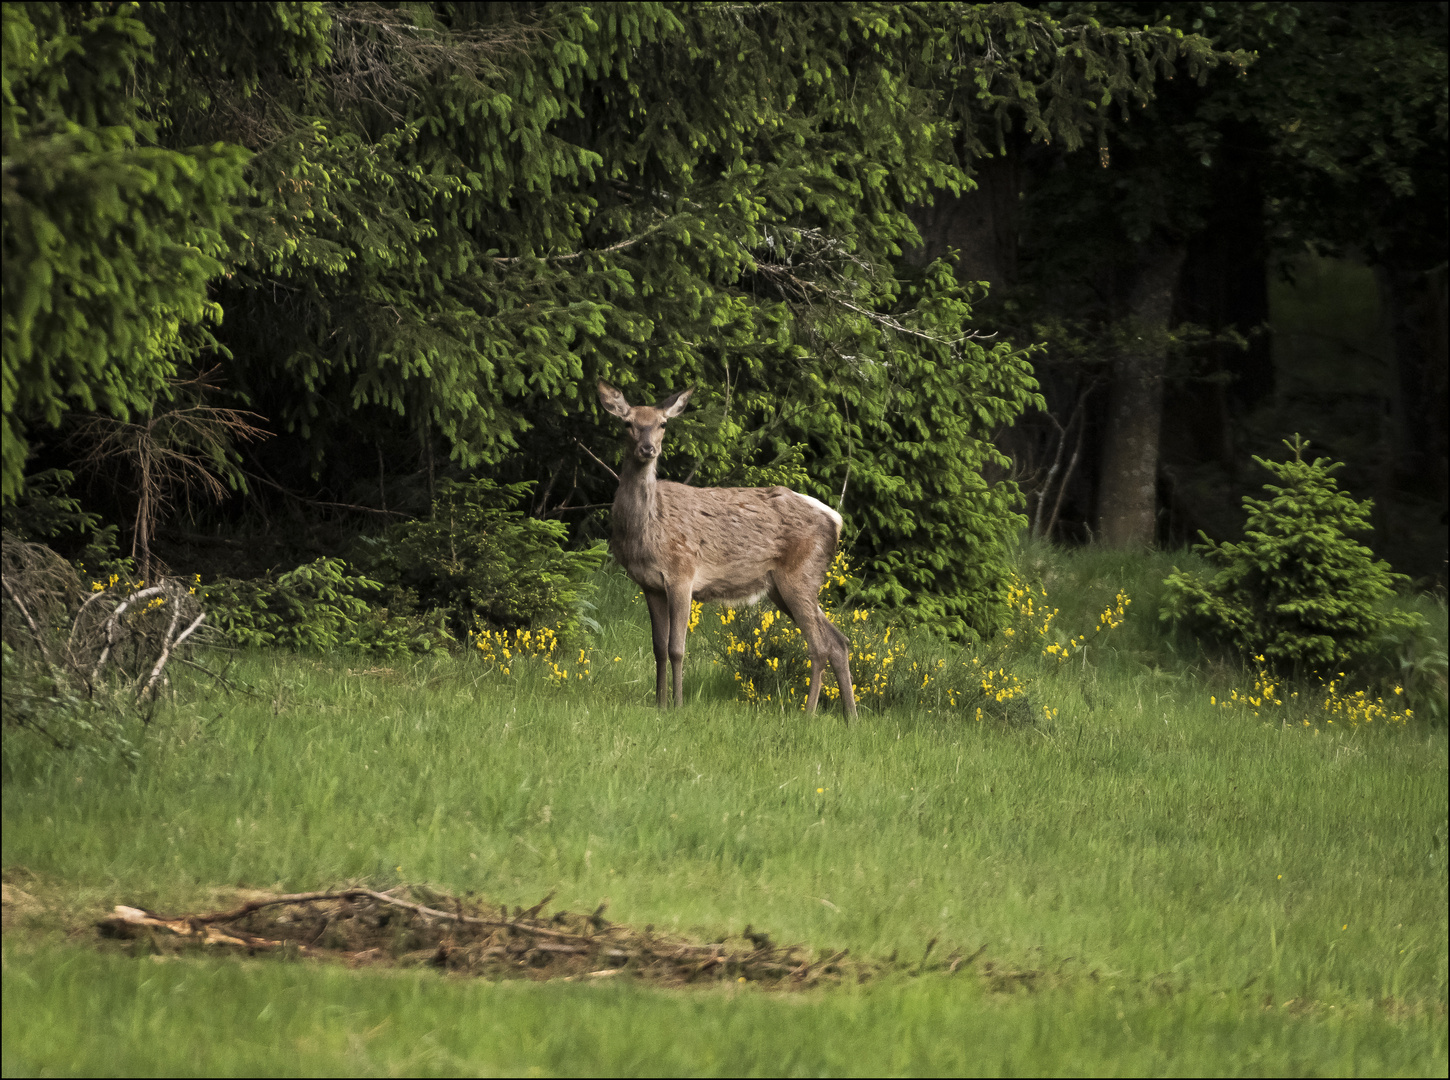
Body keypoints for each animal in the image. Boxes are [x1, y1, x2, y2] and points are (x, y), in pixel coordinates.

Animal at [594, 379, 852, 716]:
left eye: (663, 424)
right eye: (628, 423)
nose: (648, 449)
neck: (645, 531)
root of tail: (836, 520)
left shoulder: (682, 572)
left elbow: (676, 648)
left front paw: (678, 705)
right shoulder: (648, 585)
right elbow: (658, 648)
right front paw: (660, 704)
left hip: (799, 573)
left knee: (819, 645)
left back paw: (808, 714)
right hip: (782, 586)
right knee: (838, 640)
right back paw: (851, 717)